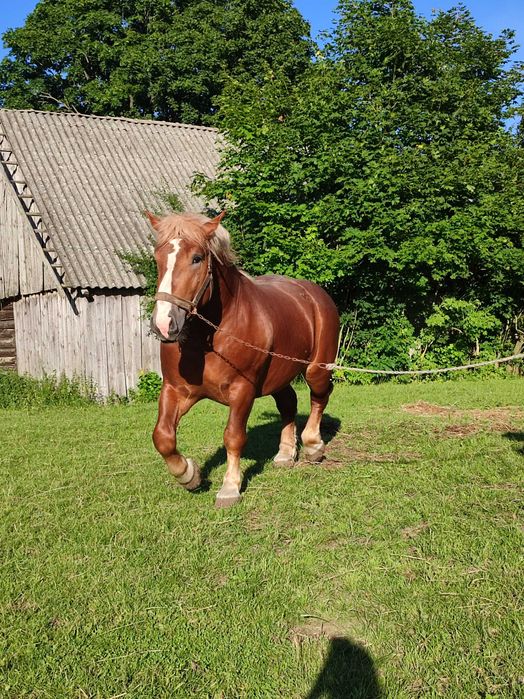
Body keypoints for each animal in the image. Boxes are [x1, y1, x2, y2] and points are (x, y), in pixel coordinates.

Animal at [146, 209, 340, 508]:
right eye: (157, 257)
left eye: (197, 258)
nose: (164, 324)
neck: (211, 336)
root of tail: (316, 294)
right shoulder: (174, 390)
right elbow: (163, 437)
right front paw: (189, 475)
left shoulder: (242, 391)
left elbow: (234, 437)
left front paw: (229, 487)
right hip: (279, 374)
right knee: (288, 402)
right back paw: (285, 454)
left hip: (316, 369)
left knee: (319, 396)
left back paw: (313, 445)